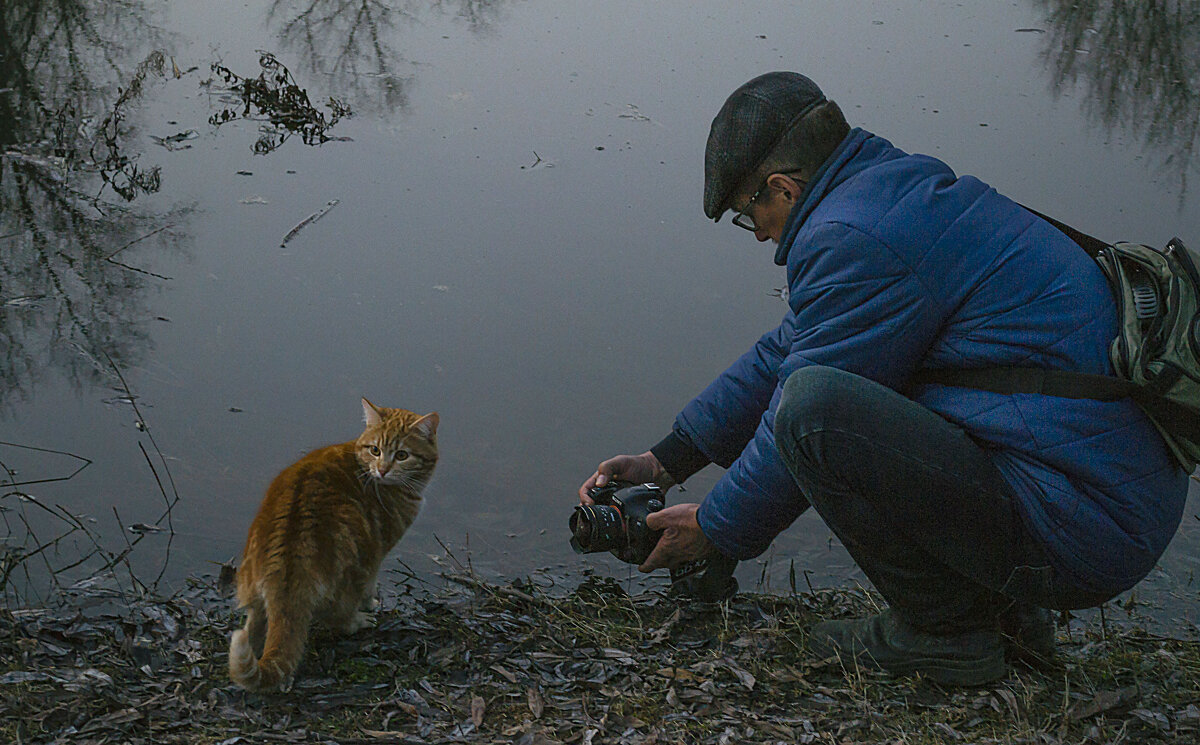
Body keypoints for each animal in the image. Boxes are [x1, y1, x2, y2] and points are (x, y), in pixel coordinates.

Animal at [226, 398, 439, 686]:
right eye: (375, 450)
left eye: (402, 455)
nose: (383, 470)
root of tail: (282, 572)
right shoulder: (377, 553)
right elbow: (370, 587)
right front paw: (371, 603)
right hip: (353, 567)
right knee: (338, 618)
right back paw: (358, 620)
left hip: (251, 589)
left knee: (254, 625)